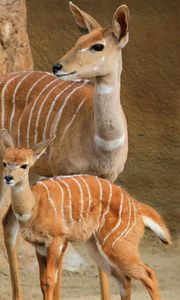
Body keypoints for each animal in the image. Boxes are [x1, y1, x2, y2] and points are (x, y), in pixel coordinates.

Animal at [0, 2, 129, 300]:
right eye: (77, 41)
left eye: (97, 46)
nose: (57, 66)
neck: (101, 143)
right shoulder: (66, 178)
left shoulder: (106, 182)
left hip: (29, 170)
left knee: (9, 222)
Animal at [0, 130, 171, 298]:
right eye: (5, 163)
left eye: (24, 165)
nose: (8, 178)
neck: (34, 205)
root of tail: (137, 206)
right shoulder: (40, 246)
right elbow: (43, 282)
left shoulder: (56, 240)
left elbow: (49, 281)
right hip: (95, 248)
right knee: (124, 280)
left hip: (118, 247)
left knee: (148, 274)